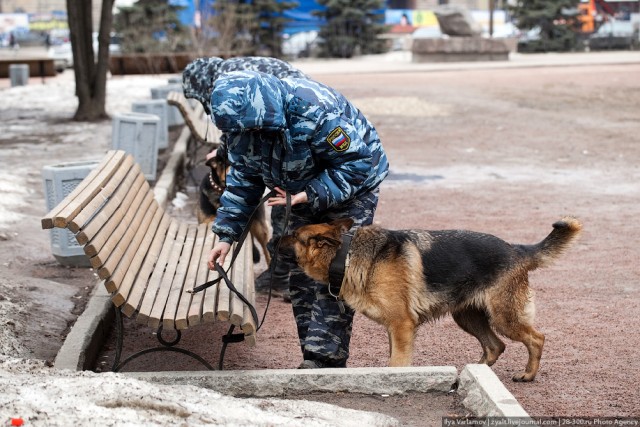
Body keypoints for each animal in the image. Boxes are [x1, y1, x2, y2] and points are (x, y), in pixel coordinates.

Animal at [282, 217, 584, 382]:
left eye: (294, 235)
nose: (276, 238)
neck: (345, 255)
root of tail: (516, 249)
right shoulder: (396, 329)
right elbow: (394, 359)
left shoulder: (402, 326)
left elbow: (397, 363)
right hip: (467, 318)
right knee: (495, 346)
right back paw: (474, 372)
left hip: (504, 317)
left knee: (536, 338)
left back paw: (528, 375)